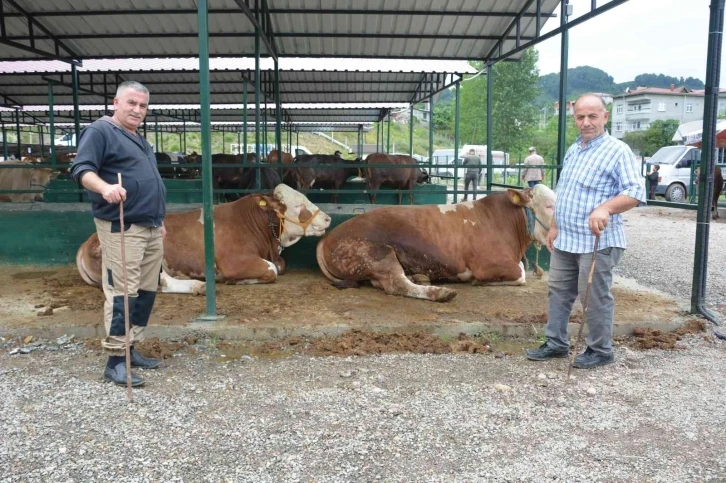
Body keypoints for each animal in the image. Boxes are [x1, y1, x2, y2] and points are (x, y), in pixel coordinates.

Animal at [77, 183, 332, 294]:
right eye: (298, 205)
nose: (328, 218)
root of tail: (87, 242)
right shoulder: (234, 261)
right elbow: (272, 269)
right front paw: (235, 280)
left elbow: (279, 265)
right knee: (158, 282)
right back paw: (197, 285)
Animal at [318, 185, 556, 302]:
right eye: (549, 205)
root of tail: (327, 237)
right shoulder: (486, 264)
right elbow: (521, 273)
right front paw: (480, 282)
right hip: (377, 253)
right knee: (397, 285)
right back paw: (440, 293)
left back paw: (420, 277)